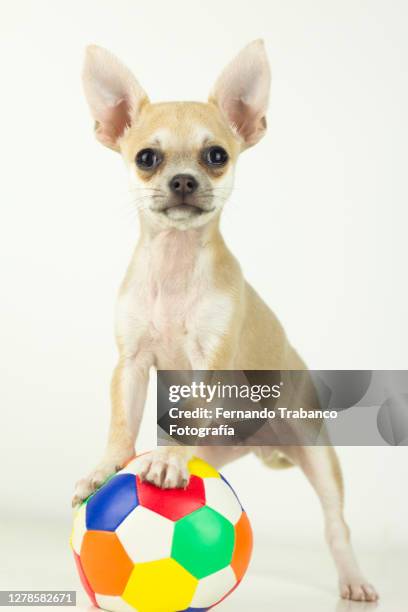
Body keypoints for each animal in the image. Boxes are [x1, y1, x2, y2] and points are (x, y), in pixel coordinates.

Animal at [71, 41, 378, 604]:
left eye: (216, 156)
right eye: (146, 158)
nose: (183, 180)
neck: (174, 268)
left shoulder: (206, 363)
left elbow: (189, 408)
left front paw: (168, 461)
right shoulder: (131, 364)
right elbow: (121, 424)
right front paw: (108, 467)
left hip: (317, 453)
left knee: (335, 525)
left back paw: (353, 579)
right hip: (217, 448)